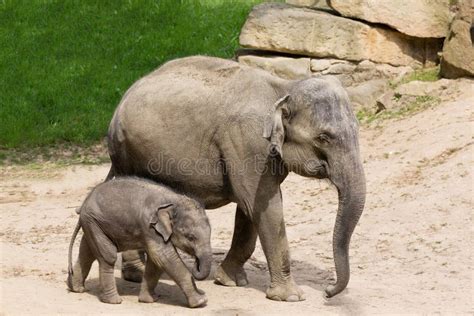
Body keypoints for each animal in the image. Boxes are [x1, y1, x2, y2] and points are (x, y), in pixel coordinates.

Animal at [67, 178, 212, 308]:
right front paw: (201, 301)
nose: (196, 262)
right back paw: (113, 301)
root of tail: (84, 204)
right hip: (94, 223)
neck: (174, 200)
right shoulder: (150, 227)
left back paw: (75, 288)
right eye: (190, 237)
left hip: (93, 223)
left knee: (87, 253)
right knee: (108, 256)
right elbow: (164, 257)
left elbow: (156, 262)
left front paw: (149, 300)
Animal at [107, 56, 366, 302]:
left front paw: (229, 280)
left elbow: (249, 211)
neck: (284, 88)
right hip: (128, 151)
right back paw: (136, 273)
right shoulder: (247, 141)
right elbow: (263, 207)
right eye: (324, 138)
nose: (327, 292)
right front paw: (291, 297)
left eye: (357, 129)